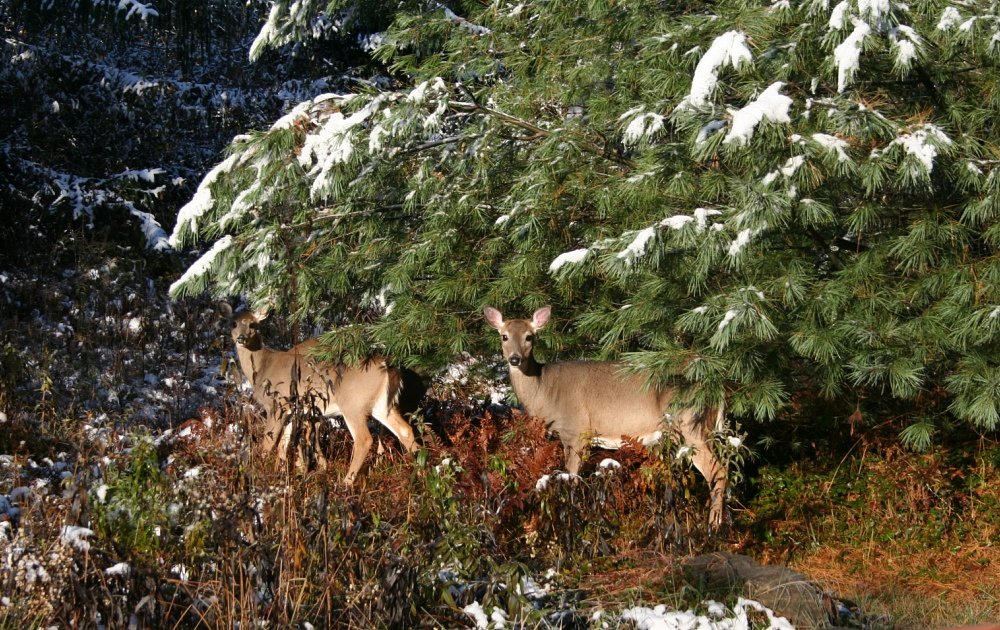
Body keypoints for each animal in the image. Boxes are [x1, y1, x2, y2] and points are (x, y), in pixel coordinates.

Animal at [223, 305, 417, 484]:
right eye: (233, 323)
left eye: (253, 324)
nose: (241, 338)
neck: (263, 367)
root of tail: (387, 365)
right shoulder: (292, 410)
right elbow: (283, 444)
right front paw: (284, 475)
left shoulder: (277, 403)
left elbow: (268, 444)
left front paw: (258, 473)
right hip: (382, 405)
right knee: (405, 430)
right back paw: (420, 474)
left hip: (353, 403)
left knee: (364, 439)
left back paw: (345, 483)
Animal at [484, 305, 728, 528]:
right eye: (504, 336)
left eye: (529, 336)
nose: (515, 359)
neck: (545, 391)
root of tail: (716, 381)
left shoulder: (576, 430)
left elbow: (572, 478)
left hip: (690, 422)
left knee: (718, 470)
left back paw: (714, 526)